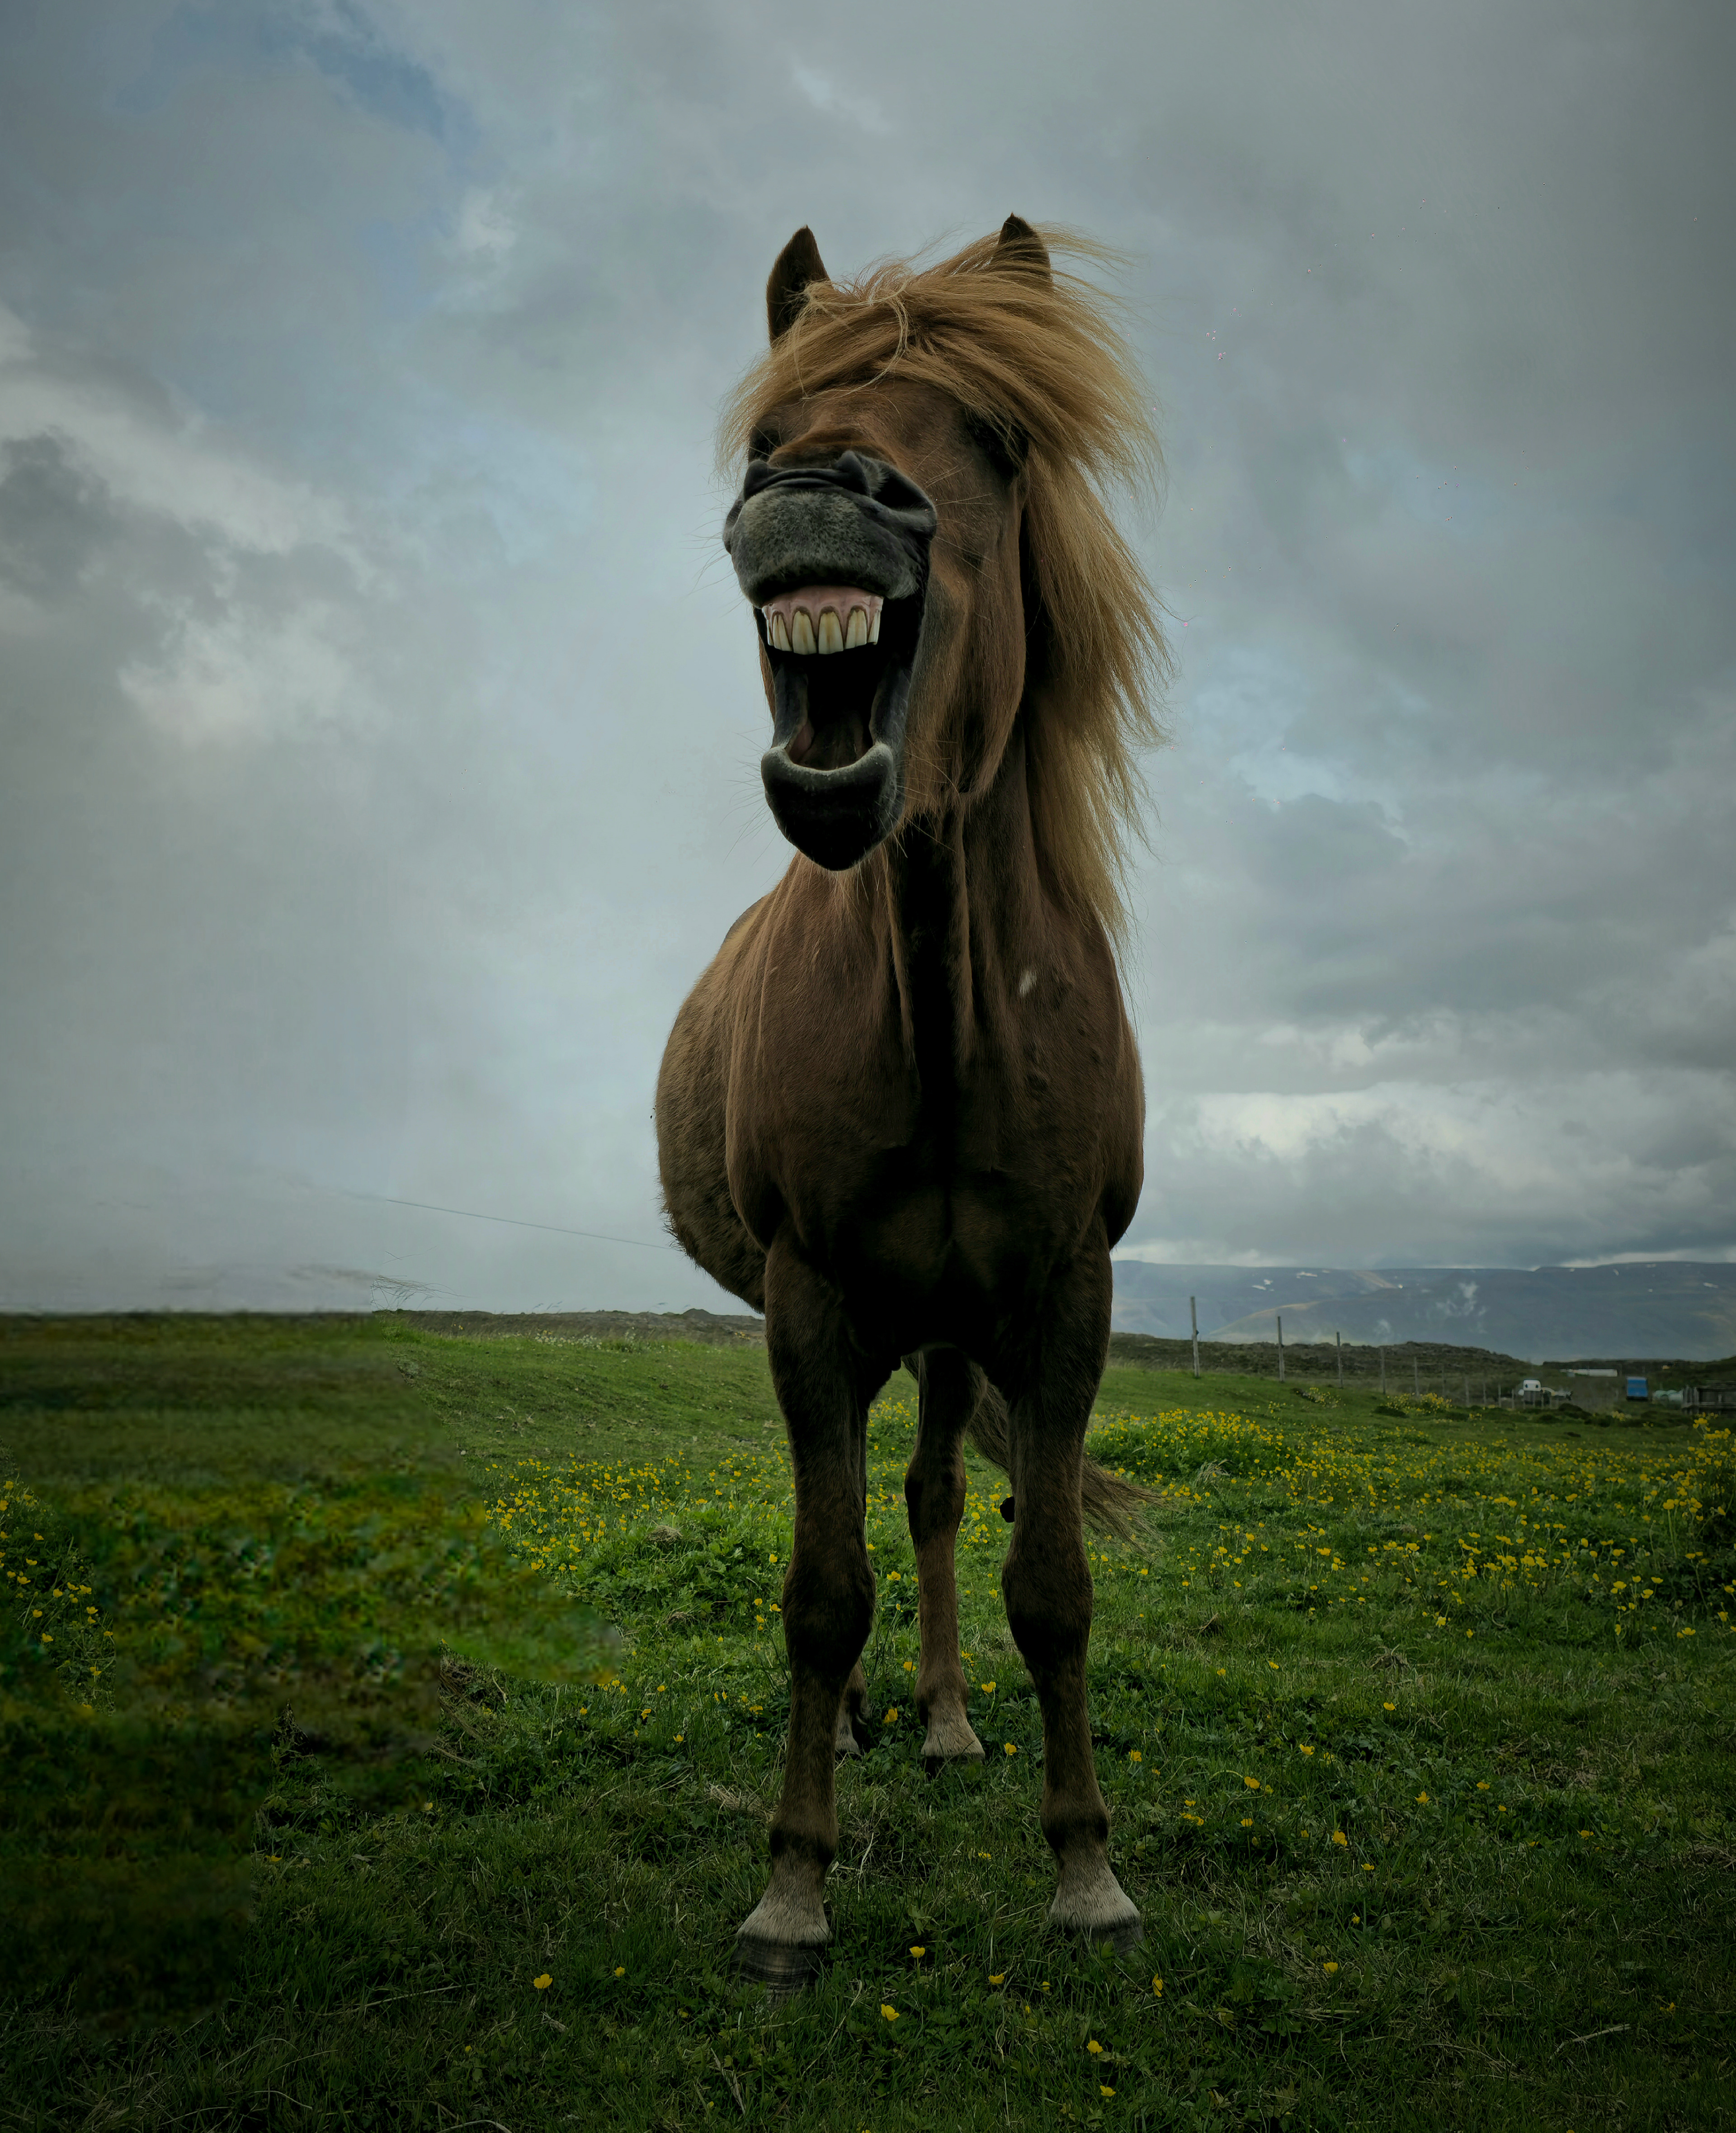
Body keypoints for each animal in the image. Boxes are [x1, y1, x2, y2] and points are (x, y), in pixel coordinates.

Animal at [655, 216, 1170, 1987]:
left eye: (998, 436)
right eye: (766, 429)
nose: (818, 487)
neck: (946, 1008)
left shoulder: (1064, 1295)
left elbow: (1052, 1579)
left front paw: (1085, 1868)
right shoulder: (811, 1300)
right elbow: (821, 1589)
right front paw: (791, 1884)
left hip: (952, 1333)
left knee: (940, 1498)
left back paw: (942, 1720)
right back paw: (879, 1718)